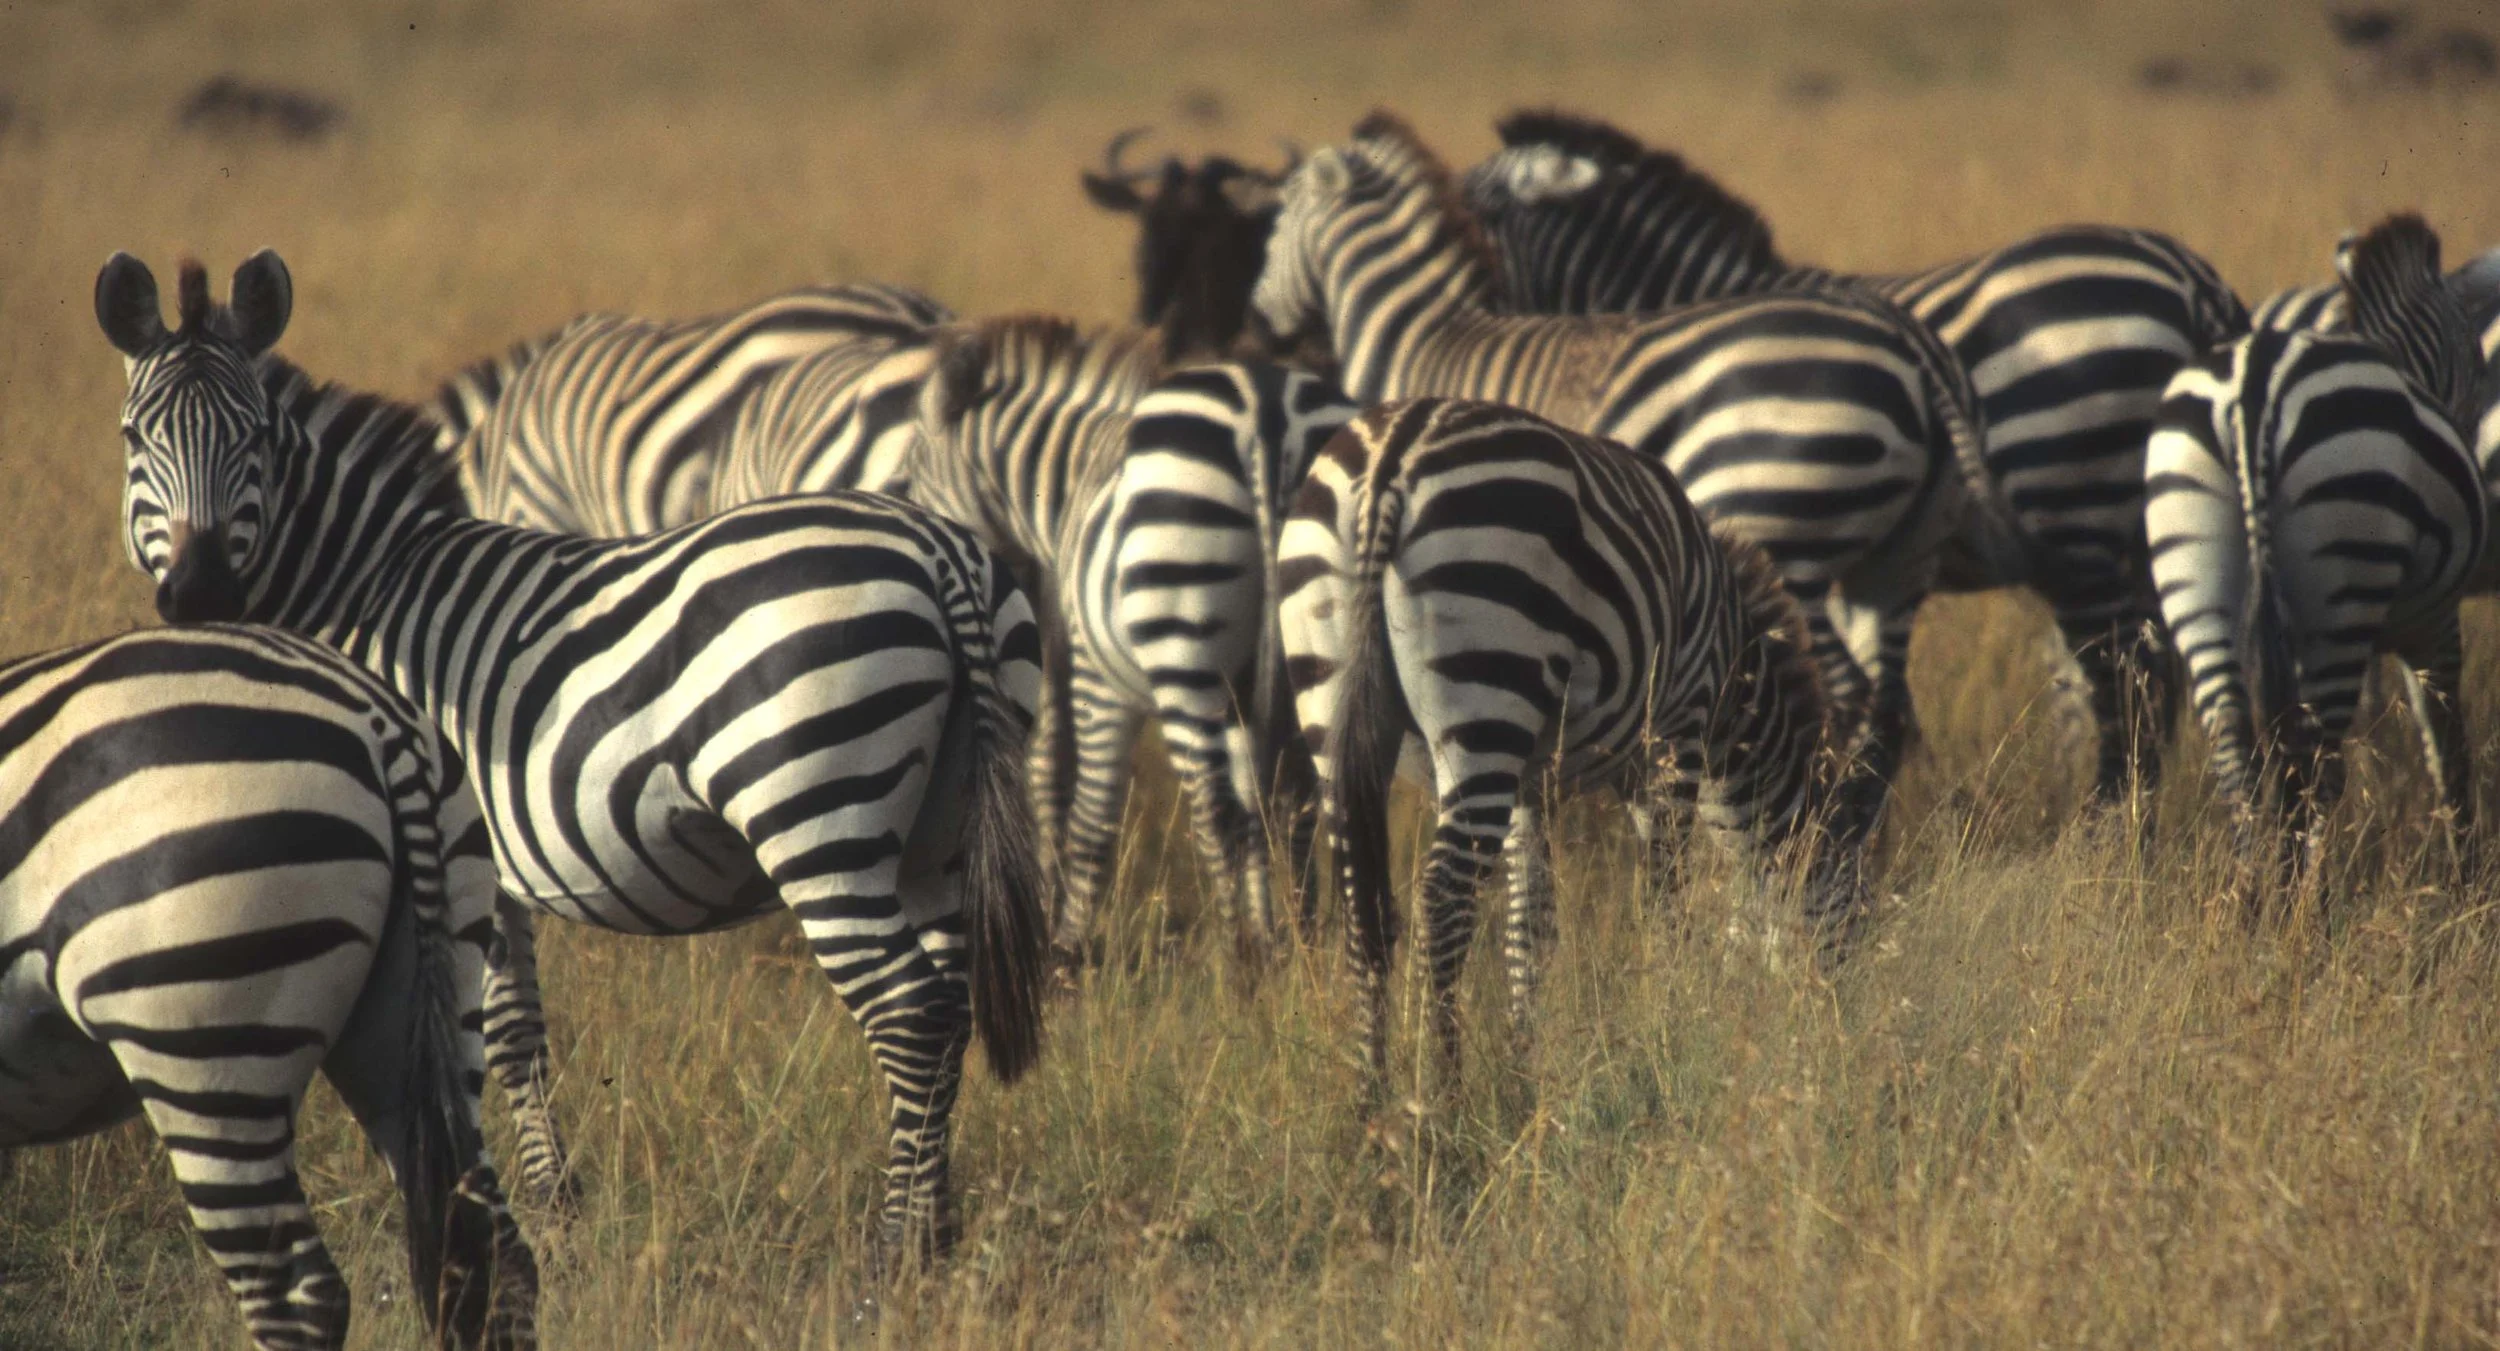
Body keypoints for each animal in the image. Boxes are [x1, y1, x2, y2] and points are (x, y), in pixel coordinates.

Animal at [912, 315, 1356, 968]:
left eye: (910, 479)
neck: (1069, 481)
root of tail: (1266, 413)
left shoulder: (1097, 677)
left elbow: (1091, 817)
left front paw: (1067, 951)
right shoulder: (1240, 689)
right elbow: (1258, 805)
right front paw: (1272, 937)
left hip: (1182, 645)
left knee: (1214, 810)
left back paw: (1232, 963)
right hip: (1316, 642)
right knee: (1301, 797)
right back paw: (1304, 949)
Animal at [1250, 112, 2001, 841]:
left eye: (1277, 221)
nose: (1260, 323)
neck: (1418, 335)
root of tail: (1912, 346)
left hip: (1792, 541)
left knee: (1845, 699)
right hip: (1899, 563)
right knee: (1888, 708)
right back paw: (1865, 833)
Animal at [1280, 397, 1858, 1102]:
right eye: (1847, 921)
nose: (1837, 1043)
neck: (1731, 683)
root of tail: (1392, 456)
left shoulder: (1531, 786)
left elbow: (1530, 927)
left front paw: (1525, 1068)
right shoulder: (1675, 734)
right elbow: (1663, 902)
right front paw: (1668, 1028)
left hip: (1332, 697)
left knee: (1363, 907)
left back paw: (1373, 1104)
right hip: (1487, 686)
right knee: (1442, 901)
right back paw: (1441, 1098)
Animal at [2145, 216, 2489, 873]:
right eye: (2478, 361)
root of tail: (2253, 392)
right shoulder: (2434, 624)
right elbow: (2446, 750)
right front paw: (2466, 872)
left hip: (2192, 571)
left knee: (2241, 757)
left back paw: (2254, 892)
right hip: (2343, 583)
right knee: (2318, 769)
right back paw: (2306, 894)